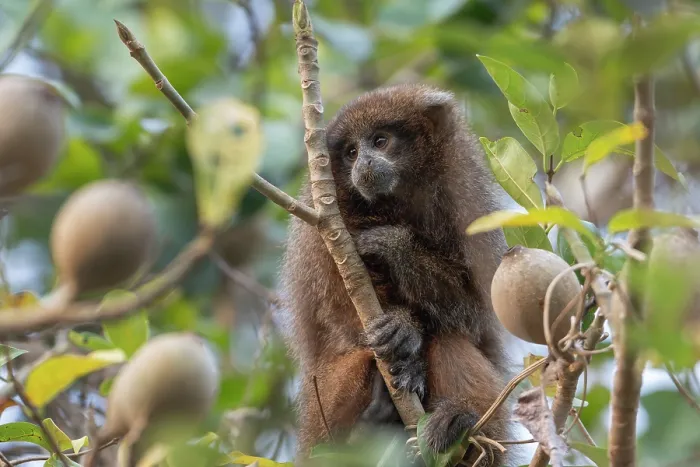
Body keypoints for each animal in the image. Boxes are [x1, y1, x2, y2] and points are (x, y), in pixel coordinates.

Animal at [279, 83, 511, 466]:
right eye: (351, 152)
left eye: (380, 141)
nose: (364, 163)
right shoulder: (327, 223)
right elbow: (340, 314)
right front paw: (404, 328)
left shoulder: (467, 199)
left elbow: (476, 314)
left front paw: (394, 251)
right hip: (321, 407)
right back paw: (370, 424)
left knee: (448, 339)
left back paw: (456, 427)